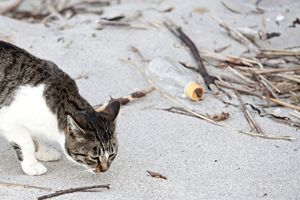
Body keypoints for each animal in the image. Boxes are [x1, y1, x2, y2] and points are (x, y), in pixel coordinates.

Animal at [0, 40, 119, 175]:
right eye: (94, 157)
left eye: (112, 155)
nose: (104, 169)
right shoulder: (9, 121)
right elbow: (26, 142)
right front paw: (32, 165)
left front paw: (44, 152)